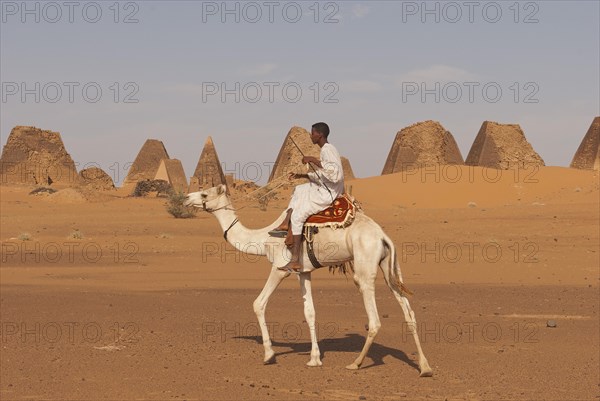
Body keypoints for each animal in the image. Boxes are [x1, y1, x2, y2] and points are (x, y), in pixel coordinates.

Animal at [185, 184, 434, 376]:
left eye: (205, 194)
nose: (186, 198)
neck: (263, 238)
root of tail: (382, 236)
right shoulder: (304, 271)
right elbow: (310, 312)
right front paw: (314, 359)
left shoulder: (280, 268)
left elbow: (258, 303)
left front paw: (269, 355)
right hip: (389, 266)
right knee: (409, 312)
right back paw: (425, 367)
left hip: (364, 268)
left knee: (374, 319)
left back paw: (355, 363)